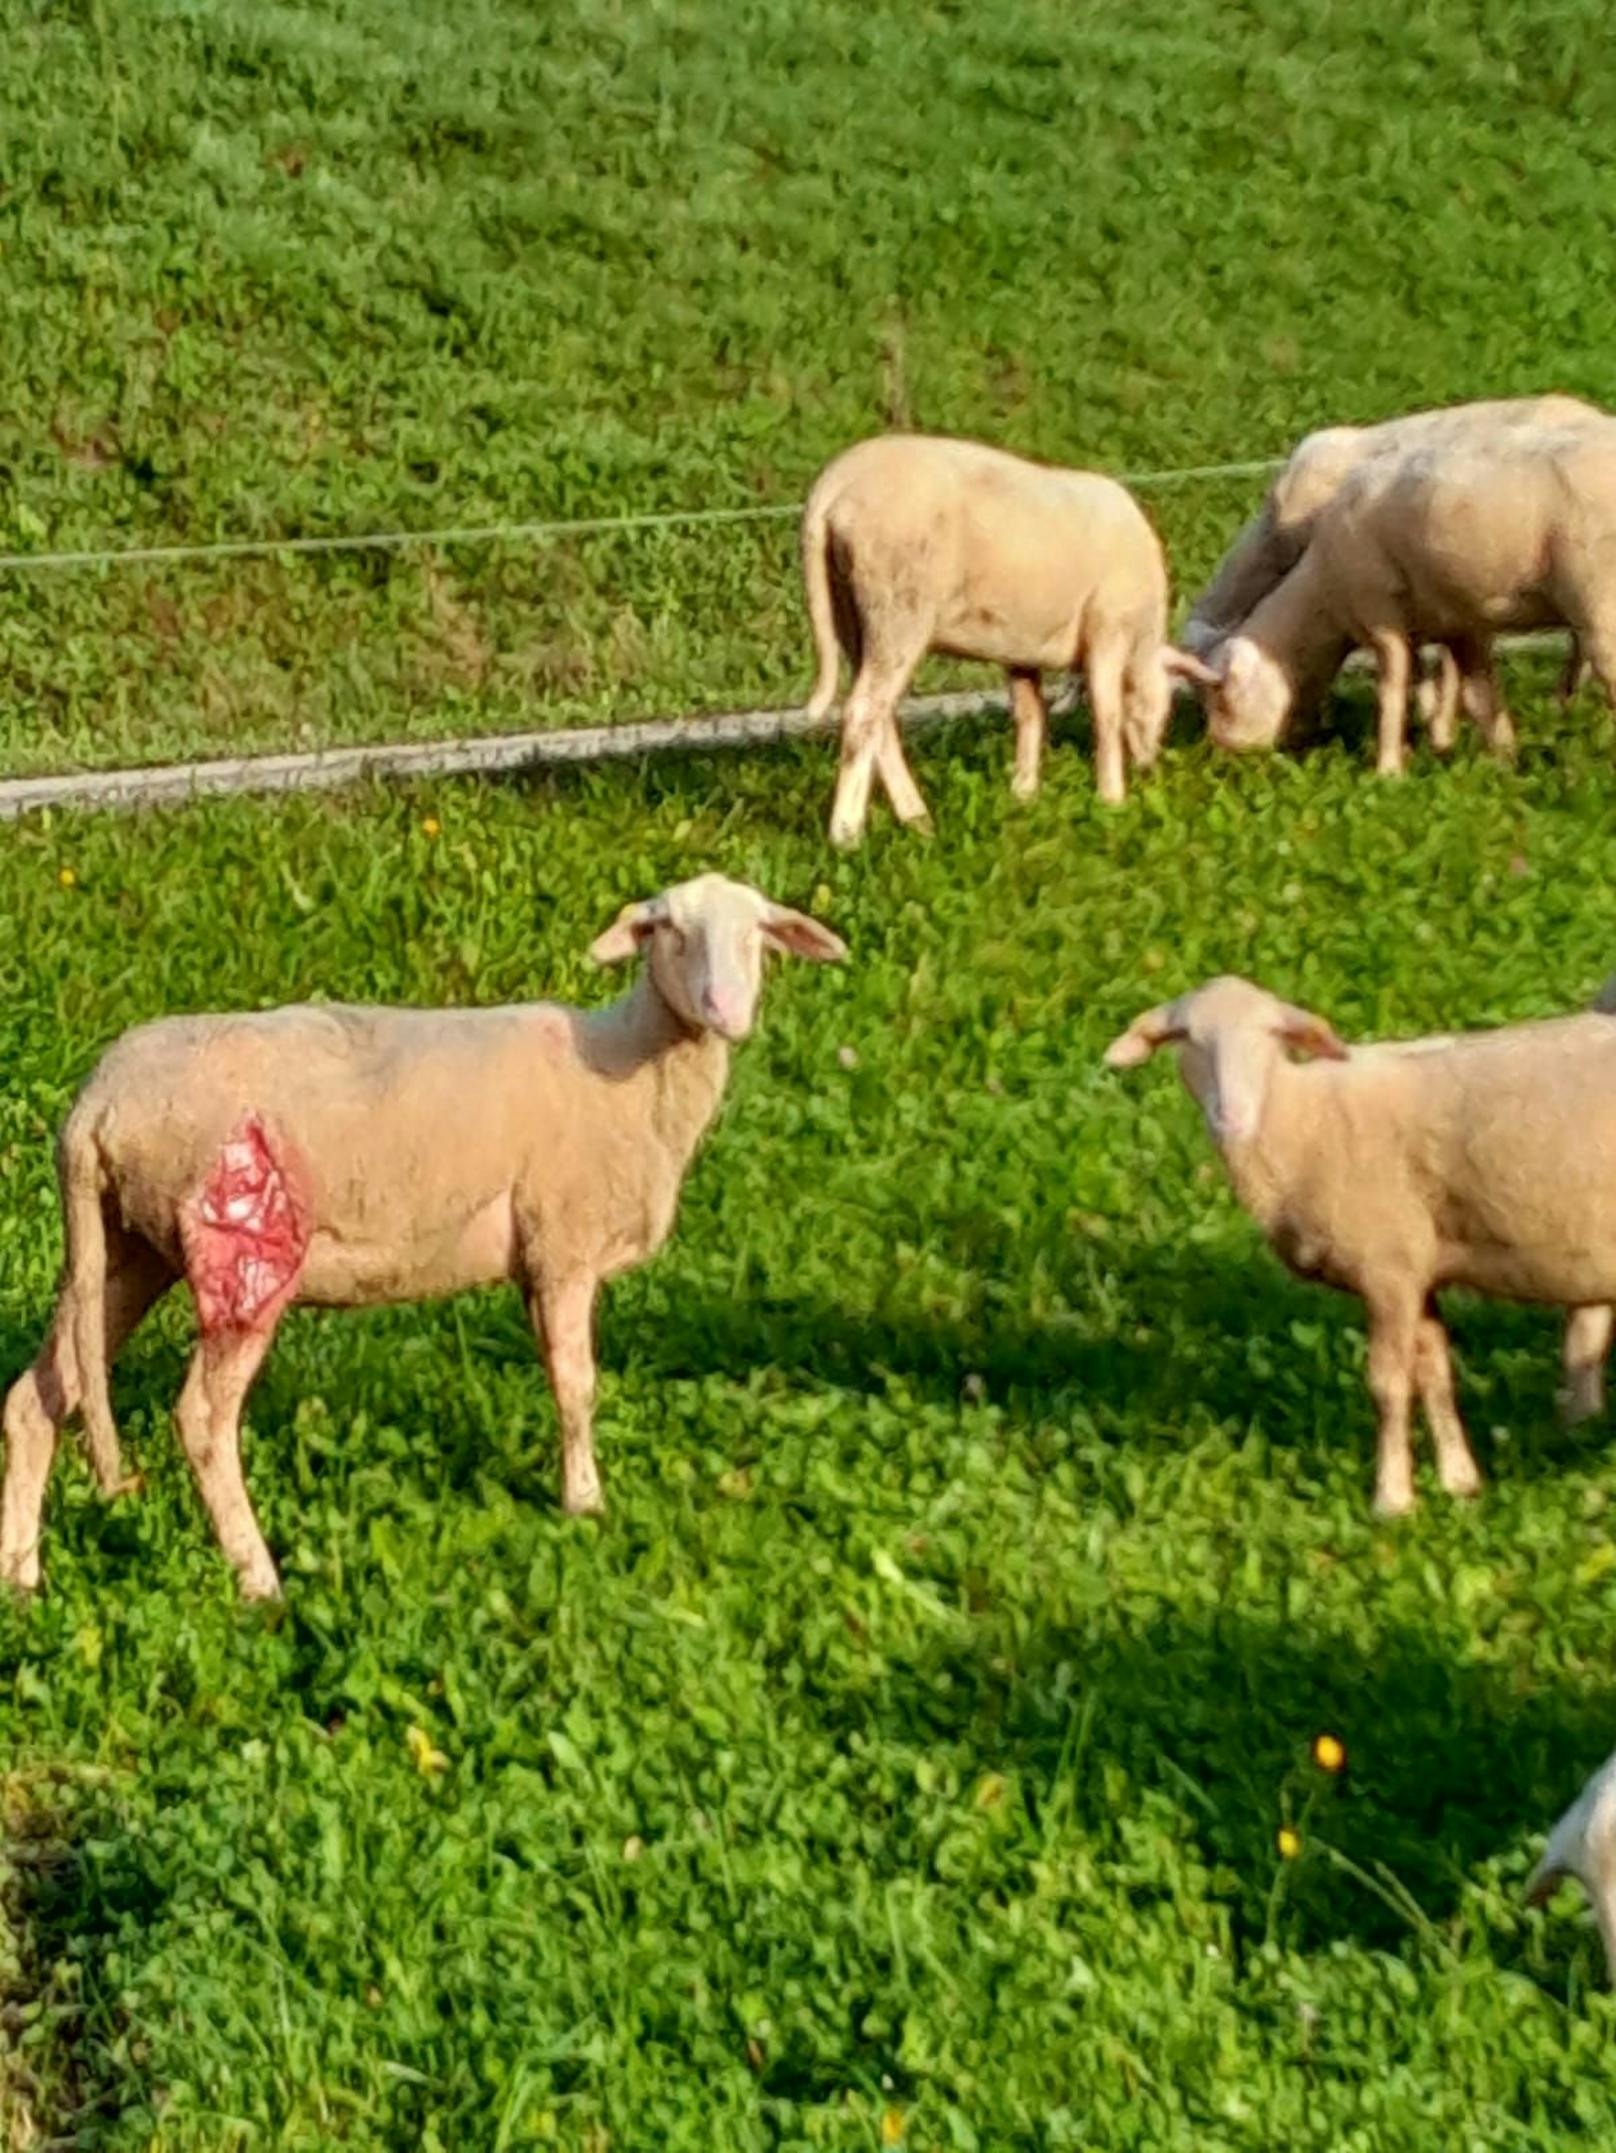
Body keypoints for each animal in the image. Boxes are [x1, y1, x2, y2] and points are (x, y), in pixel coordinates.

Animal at [0, 869, 852, 1601]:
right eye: (668, 928)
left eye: (758, 933)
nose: (724, 1007)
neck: (632, 1073)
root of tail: (95, 1108)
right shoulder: (564, 1242)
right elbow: (578, 1386)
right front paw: (585, 1502)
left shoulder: (535, 1261)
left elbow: (555, 1374)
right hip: (241, 1254)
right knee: (203, 1420)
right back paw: (259, 1578)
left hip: (128, 1248)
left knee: (37, 1395)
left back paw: (23, 1576)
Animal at [800, 432, 1205, 843]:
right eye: (1165, 708)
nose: (1148, 768)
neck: (1142, 642)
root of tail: (835, 483)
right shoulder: (1108, 628)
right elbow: (1107, 713)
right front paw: (1112, 799)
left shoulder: (1021, 646)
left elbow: (1030, 713)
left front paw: (1023, 794)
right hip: (898, 604)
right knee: (864, 710)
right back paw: (847, 834)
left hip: (851, 610)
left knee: (878, 716)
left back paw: (916, 819)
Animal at [1110, 977, 1616, 1515]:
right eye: (1188, 1038)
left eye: (1271, 1035)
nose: (1232, 1117)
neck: (1301, 1121)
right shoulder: (1417, 1268)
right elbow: (1434, 1373)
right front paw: (1459, 1482)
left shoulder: (1386, 1267)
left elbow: (1388, 1385)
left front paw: (1392, 1499)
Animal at [1179, 411, 1616, 775]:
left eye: (1221, 697)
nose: (1221, 755)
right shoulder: (1455, 623)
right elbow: (1474, 691)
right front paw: (1490, 758)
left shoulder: (1380, 614)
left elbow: (1393, 689)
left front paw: (1390, 768)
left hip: (1598, 601)